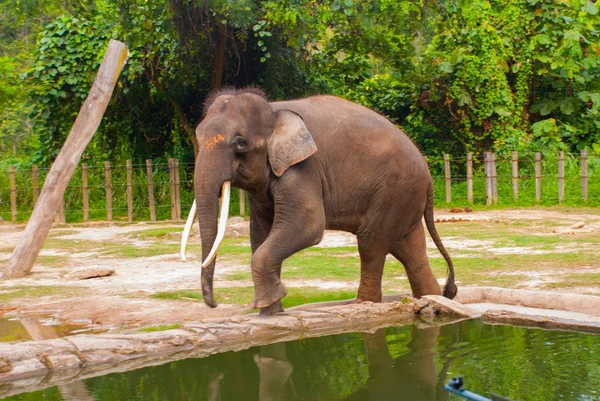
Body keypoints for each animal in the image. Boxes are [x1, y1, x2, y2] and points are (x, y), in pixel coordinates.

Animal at [180, 86, 458, 314]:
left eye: (240, 143)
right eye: (199, 135)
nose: (215, 304)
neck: (273, 109)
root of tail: (426, 170)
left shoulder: (304, 168)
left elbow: (308, 225)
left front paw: (266, 304)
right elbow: (260, 233)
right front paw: (271, 312)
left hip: (393, 190)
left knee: (372, 243)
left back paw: (363, 305)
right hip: (403, 195)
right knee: (409, 249)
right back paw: (433, 298)